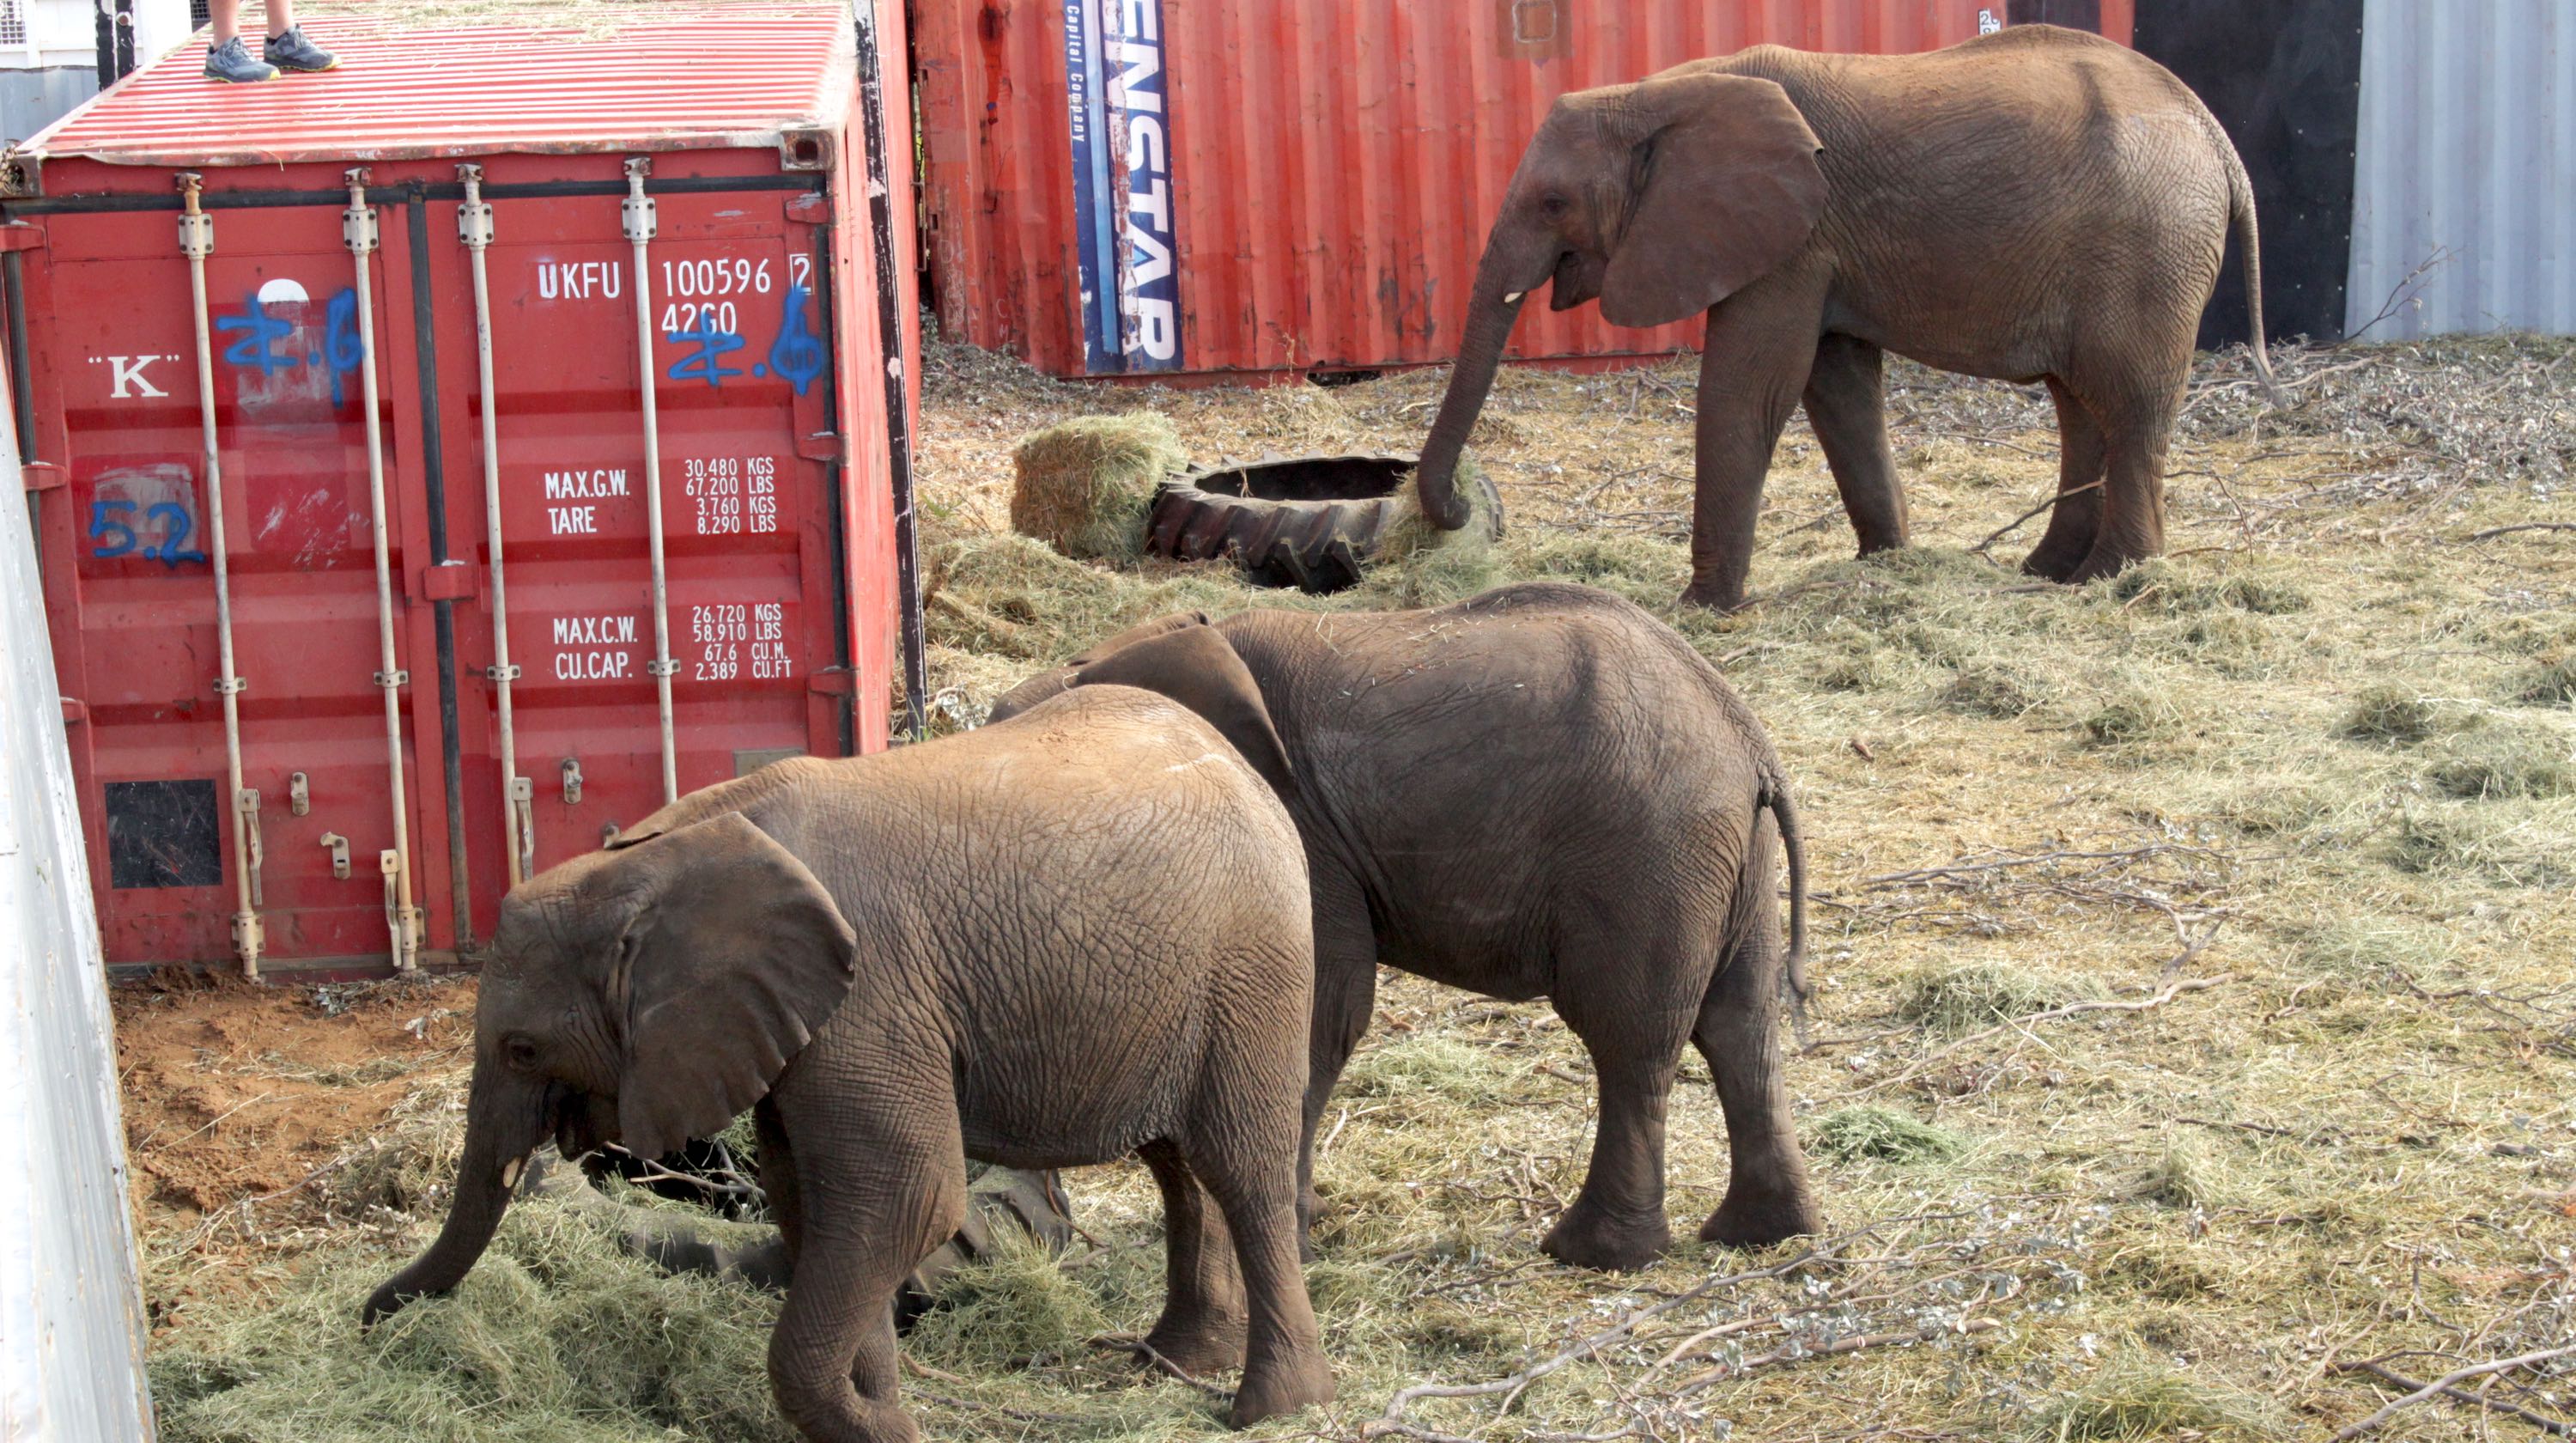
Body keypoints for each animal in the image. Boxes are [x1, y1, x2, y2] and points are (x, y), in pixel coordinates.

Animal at [362, 683, 1334, 1442]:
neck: (668, 849)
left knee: (1240, 1164)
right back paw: (1170, 1362)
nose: (368, 1316)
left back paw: (1271, 1408)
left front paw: (890, 1429)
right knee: (1178, 1167)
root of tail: (1247, 772)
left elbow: (909, 1193)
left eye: (522, 1049)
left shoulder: (870, 999)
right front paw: (884, 1412)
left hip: (1256, 969)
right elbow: (814, 1204)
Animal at [990, 581, 1821, 1272]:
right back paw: (1760, 1235)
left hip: (1646, 853)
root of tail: (1749, 741)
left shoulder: (1300, 829)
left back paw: (1594, 1255)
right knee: (1739, 1024)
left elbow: (1323, 1006)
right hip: (1728, 859)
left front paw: (1294, 1245)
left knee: (1631, 1038)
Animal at [1410, 24, 2280, 611]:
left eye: (1553, 203)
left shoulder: (1790, 238)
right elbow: (1836, 386)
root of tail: (2217, 136)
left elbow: (1754, 387)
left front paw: (1701, 610)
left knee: (2128, 402)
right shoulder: (1815, 246)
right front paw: (1887, 566)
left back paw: (2106, 581)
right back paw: (2046, 571)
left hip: (2151, 250)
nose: (1463, 513)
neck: (1657, 92)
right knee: (2081, 406)